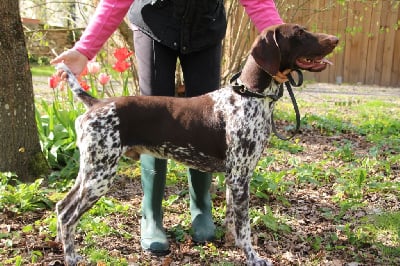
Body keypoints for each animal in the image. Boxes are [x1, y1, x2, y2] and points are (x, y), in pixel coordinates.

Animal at [55, 23, 338, 264]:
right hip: (100, 175)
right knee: (68, 215)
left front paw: (233, 245)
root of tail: (95, 103)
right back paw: (71, 257)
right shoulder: (240, 178)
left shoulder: (236, 176)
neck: (249, 96)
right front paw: (253, 257)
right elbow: (245, 227)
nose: (335, 39)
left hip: (90, 171)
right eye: (299, 33)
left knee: (61, 207)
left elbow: (233, 221)